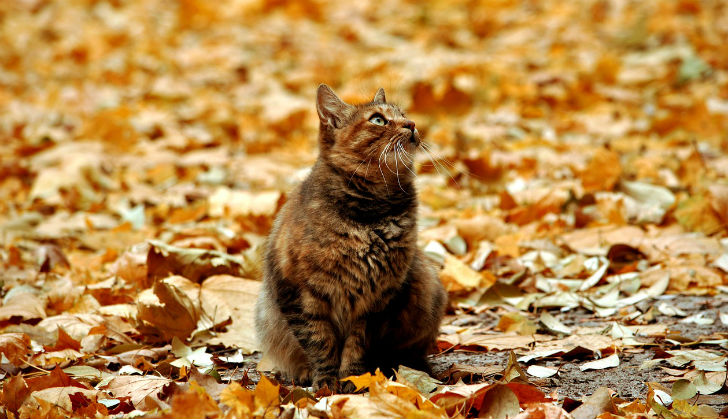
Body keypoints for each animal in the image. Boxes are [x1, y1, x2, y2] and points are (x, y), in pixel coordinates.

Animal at [256, 84, 450, 394]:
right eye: (378, 120)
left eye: (403, 114)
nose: (412, 124)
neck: (371, 217)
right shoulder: (300, 293)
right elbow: (320, 342)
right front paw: (325, 383)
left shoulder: (377, 301)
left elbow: (356, 346)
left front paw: (352, 380)